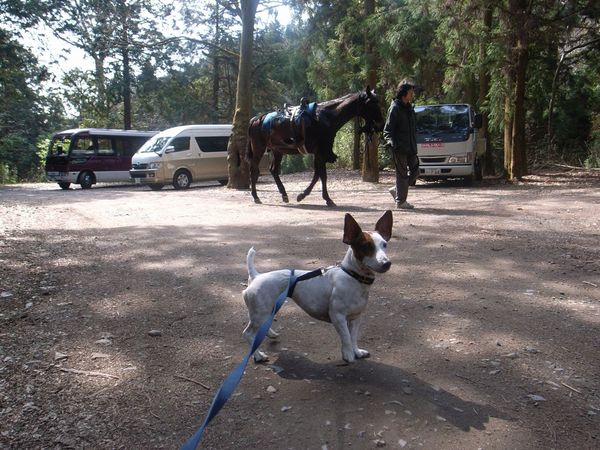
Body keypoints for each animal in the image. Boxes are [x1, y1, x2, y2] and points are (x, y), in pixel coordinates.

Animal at [242, 210, 393, 363]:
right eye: (366, 246)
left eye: (384, 244)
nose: (387, 263)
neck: (353, 277)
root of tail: (256, 276)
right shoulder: (338, 317)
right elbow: (346, 338)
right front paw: (348, 355)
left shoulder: (355, 318)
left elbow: (353, 337)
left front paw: (356, 351)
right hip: (260, 313)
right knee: (249, 334)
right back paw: (258, 355)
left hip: (268, 310)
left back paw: (270, 335)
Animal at [246, 87, 385, 207]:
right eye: (371, 103)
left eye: (378, 101)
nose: (381, 125)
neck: (325, 118)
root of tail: (257, 119)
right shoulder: (320, 153)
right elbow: (322, 175)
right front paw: (327, 199)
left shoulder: (318, 153)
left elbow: (317, 175)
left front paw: (302, 195)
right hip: (259, 149)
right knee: (254, 170)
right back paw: (256, 197)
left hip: (277, 150)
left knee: (274, 170)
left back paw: (284, 195)